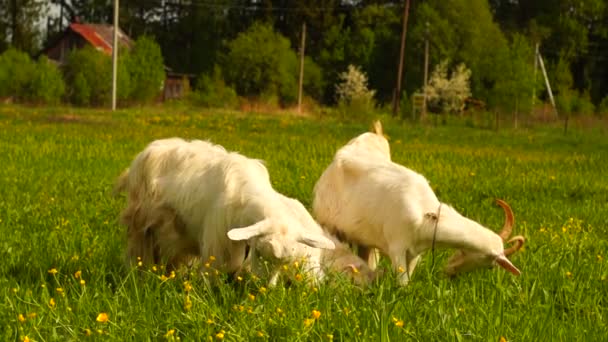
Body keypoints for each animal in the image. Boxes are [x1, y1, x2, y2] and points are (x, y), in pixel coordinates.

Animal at [314, 121, 524, 284]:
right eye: (490, 266)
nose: (449, 271)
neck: (425, 215)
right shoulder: (397, 247)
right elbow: (402, 282)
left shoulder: (415, 252)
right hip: (327, 223)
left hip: (365, 239)